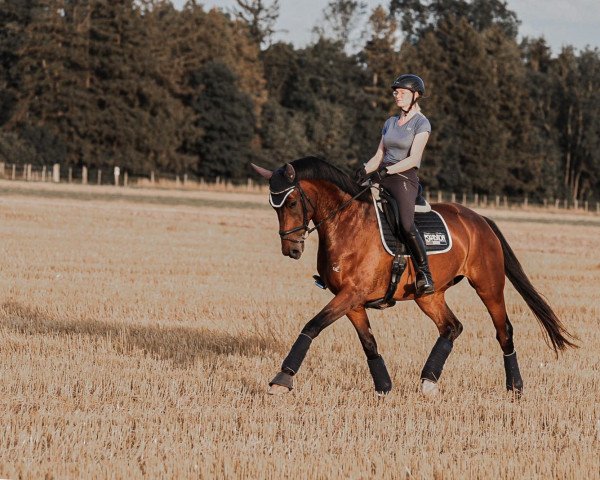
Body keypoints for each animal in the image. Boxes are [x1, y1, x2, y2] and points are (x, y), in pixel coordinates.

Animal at [251, 158, 580, 398]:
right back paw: (428, 381)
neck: (347, 223)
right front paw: (384, 388)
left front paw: (282, 378)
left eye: (292, 203)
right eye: (273, 206)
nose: (291, 249)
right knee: (451, 327)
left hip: (488, 285)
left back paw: (515, 387)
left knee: (504, 331)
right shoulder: (351, 301)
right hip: (429, 295)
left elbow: (312, 325)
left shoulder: (351, 294)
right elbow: (369, 343)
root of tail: (480, 220)